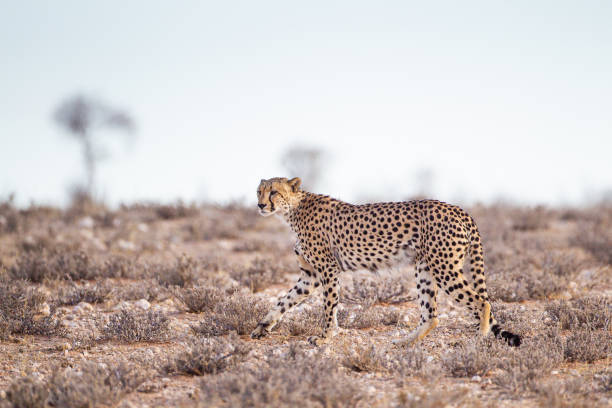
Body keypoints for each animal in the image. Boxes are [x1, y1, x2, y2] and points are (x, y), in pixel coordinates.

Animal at [249, 176, 520, 348]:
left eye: (274, 192)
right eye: (259, 191)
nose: (260, 205)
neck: (292, 211)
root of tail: (458, 209)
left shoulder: (327, 270)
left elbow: (328, 307)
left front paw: (324, 337)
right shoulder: (310, 276)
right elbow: (284, 301)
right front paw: (262, 326)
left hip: (445, 268)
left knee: (482, 302)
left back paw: (478, 341)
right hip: (425, 269)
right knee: (431, 315)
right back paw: (404, 342)